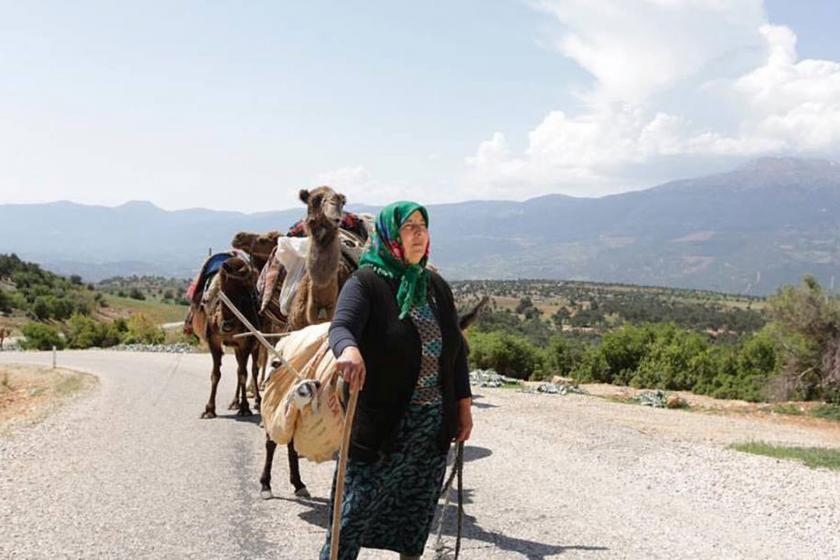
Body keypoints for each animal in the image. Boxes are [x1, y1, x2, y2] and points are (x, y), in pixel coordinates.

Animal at [190, 256, 262, 418]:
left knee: (253, 369)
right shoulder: (214, 341)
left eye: (250, 280)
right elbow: (216, 374)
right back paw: (235, 402)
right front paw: (209, 409)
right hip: (235, 348)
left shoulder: (246, 343)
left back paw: (257, 401)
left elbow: (244, 374)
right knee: (239, 368)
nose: (255, 297)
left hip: (256, 344)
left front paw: (245, 408)